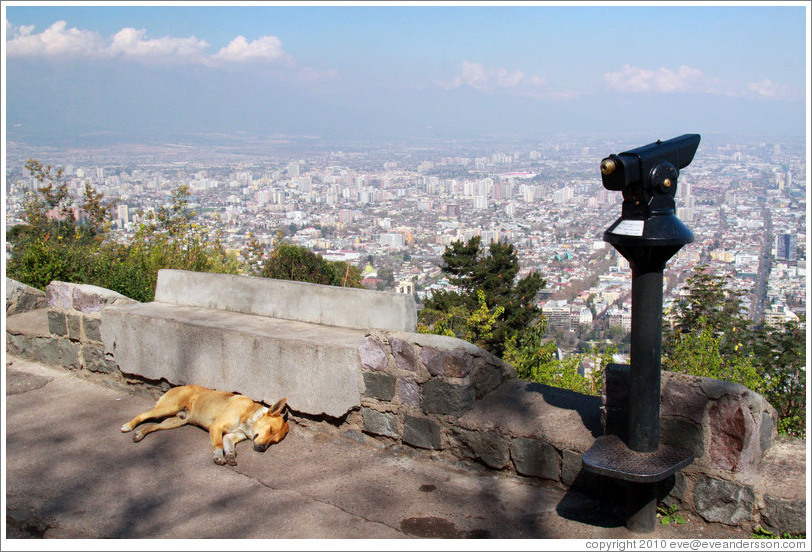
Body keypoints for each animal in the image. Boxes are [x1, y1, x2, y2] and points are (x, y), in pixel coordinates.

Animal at [119, 384, 288, 466]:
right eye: (270, 429)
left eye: (274, 440)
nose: (261, 449)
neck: (250, 415)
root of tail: (179, 386)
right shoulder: (216, 427)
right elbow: (218, 444)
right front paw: (219, 456)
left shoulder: (232, 436)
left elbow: (228, 445)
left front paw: (230, 455)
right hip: (168, 407)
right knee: (143, 415)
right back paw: (128, 426)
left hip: (176, 421)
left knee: (154, 426)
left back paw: (139, 434)